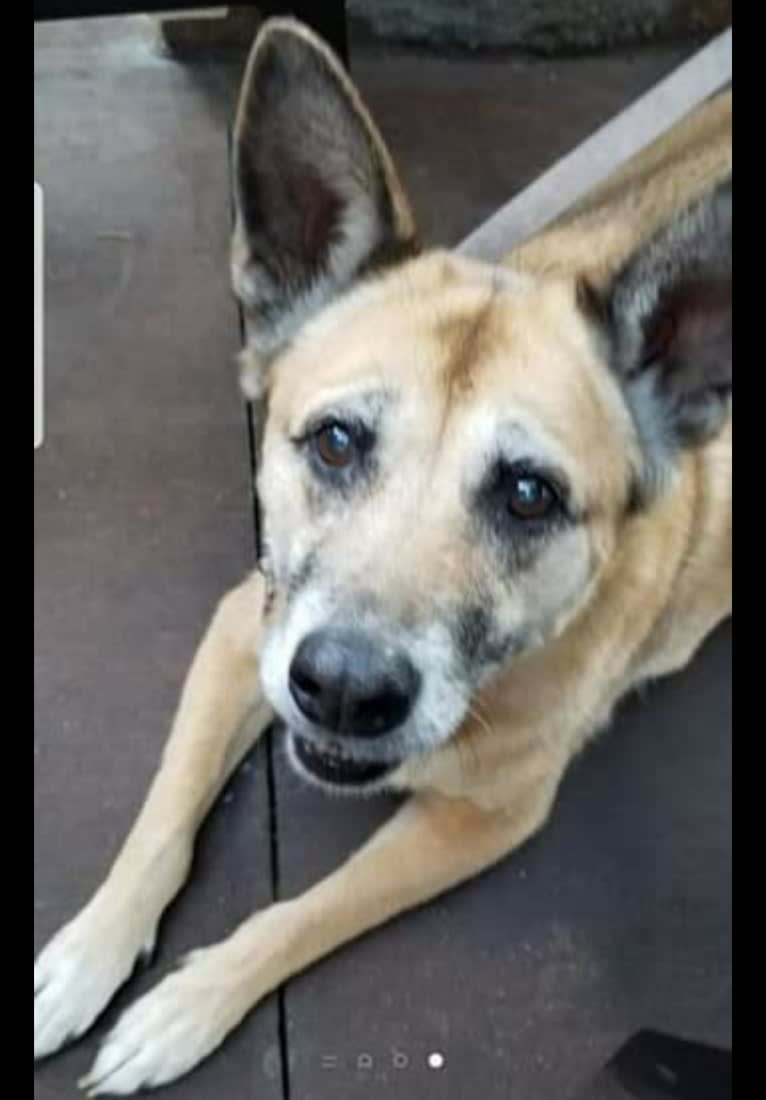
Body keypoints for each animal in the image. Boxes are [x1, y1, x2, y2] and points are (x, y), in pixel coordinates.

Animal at [32, 17, 735, 1091]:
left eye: (529, 495)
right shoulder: (244, 631)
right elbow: (159, 826)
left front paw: (188, 1005)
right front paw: (82, 958)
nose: (344, 692)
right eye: (334, 441)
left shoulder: (486, 816)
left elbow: (299, 915)